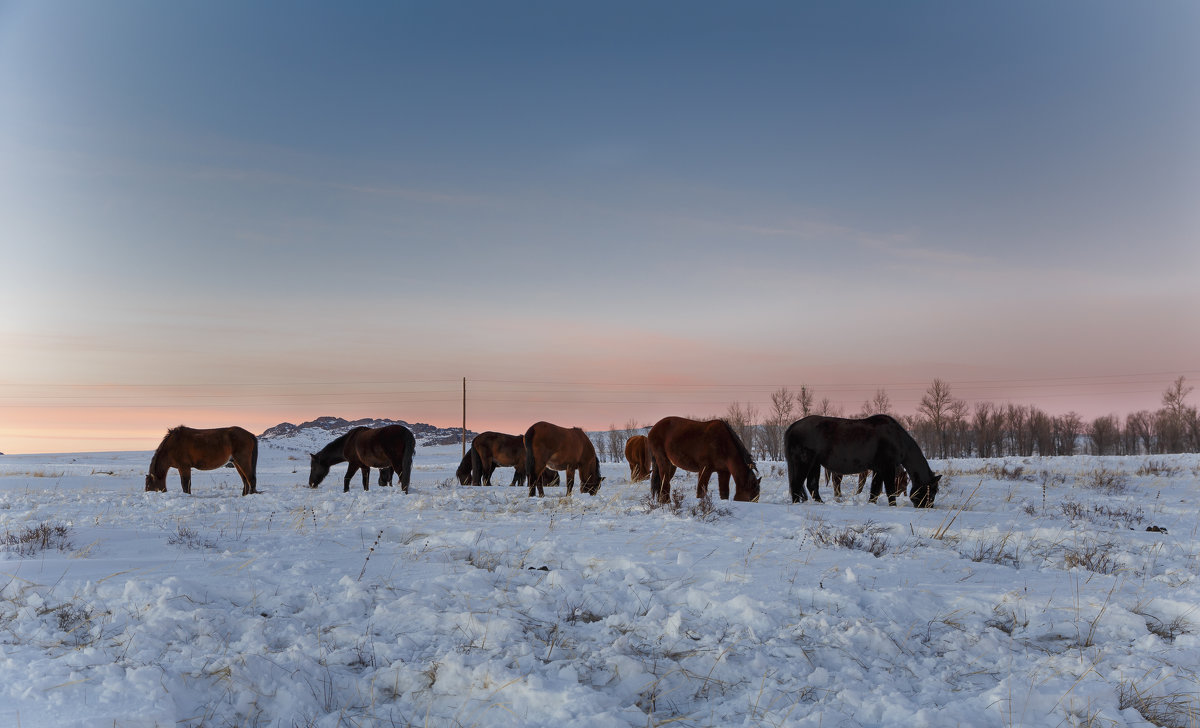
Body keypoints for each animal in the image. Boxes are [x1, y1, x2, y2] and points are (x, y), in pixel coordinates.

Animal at [782, 412, 940, 510]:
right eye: (932, 491)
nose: (928, 507)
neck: (897, 438)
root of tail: (791, 428)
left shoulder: (878, 469)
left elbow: (875, 490)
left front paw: (872, 504)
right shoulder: (887, 468)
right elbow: (890, 490)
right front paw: (893, 506)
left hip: (814, 464)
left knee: (811, 485)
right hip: (803, 463)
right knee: (796, 485)